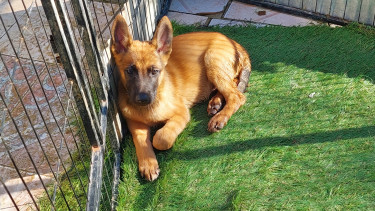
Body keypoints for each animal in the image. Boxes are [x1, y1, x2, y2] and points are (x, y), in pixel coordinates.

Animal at [112, 14, 253, 181]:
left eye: (155, 71)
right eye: (129, 71)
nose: (142, 99)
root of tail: (234, 42)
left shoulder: (181, 113)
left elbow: (161, 138)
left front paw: (160, 144)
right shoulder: (134, 122)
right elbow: (140, 141)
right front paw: (148, 164)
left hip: (212, 60)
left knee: (237, 96)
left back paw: (220, 117)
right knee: (233, 84)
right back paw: (215, 103)